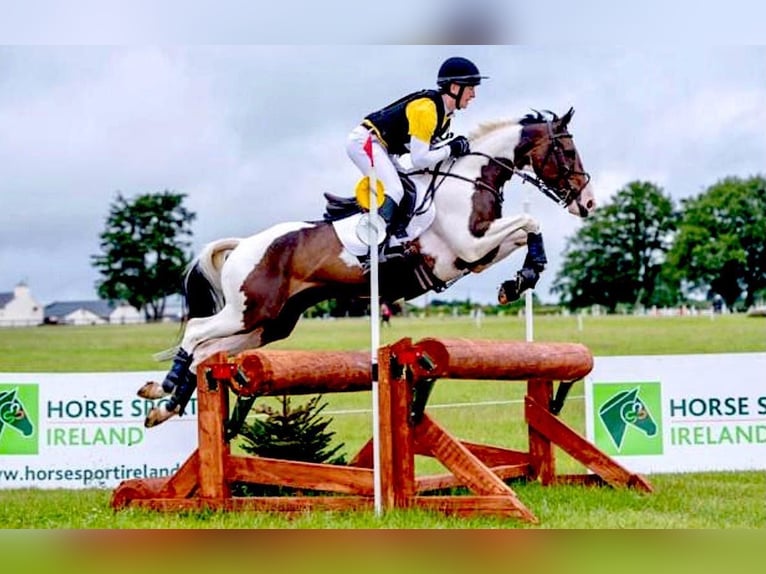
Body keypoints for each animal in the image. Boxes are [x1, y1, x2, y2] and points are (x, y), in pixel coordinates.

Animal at [140, 106, 600, 428]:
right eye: (567, 150)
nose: (588, 202)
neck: (469, 178)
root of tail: (243, 245)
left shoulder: (475, 255)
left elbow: (526, 232)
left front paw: (520, 279)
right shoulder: (468, 247)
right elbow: (530, 222)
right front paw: (526, 275)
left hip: (269, 324)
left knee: (207, 355)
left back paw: (164, 403)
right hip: (248, 311)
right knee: (197, 333)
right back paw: (166, 389)